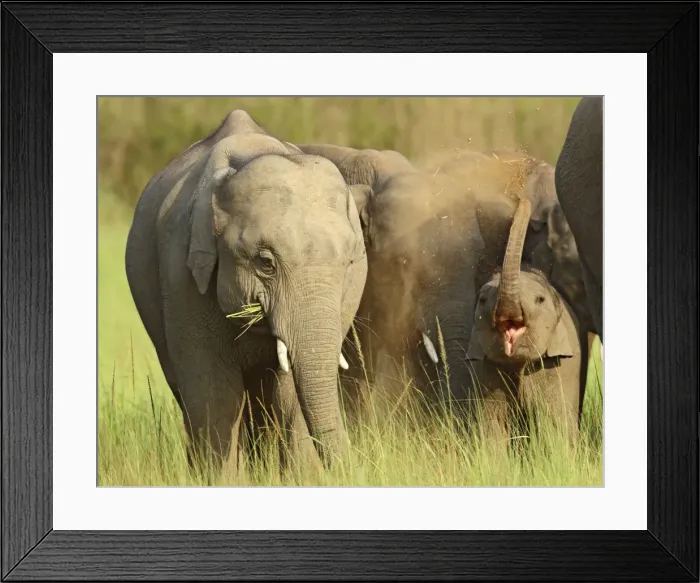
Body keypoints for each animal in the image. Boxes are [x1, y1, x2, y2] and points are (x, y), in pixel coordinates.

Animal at [125, 110, 368, 474]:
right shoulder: (180, 277)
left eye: (349, 262)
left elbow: (292, 391)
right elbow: (213, 395)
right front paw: (219, 477)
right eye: (265, 263)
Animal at [466, 196, 588, 445]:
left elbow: (555, 424)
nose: (521, 200)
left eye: (539, 300)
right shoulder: (484, 368)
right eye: (482, 299)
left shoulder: (559, 365)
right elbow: (491, 427)